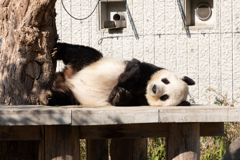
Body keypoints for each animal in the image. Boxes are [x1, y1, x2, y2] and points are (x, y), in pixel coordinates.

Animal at [47, 43, 196, 107]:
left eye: (165, 97)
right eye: (166, 81)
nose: (154, 88)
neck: (145, 88)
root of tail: (66, 78)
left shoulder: (141, 101)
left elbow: (129, 100)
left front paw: (119, 96)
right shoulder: (148, 69)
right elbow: (136, 71)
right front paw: (116, 91)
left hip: (73, 95)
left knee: (65, 96)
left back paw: (49, 96)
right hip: (87, 64)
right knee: (84, 53)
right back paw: (58, 50)